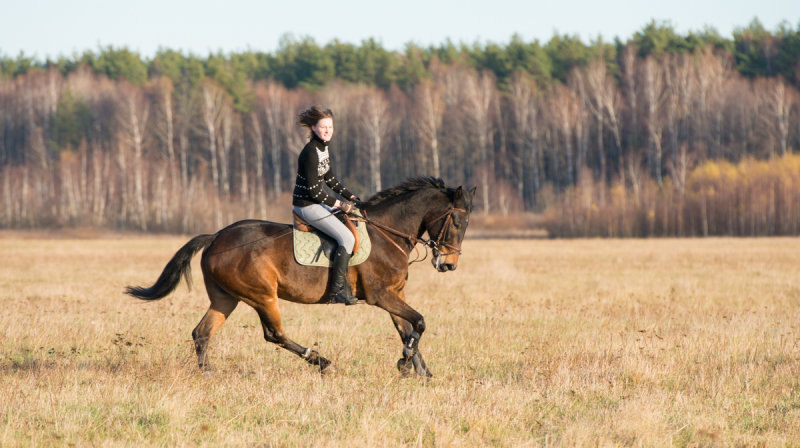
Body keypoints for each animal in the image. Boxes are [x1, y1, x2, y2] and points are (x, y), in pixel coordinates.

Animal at [126, 177, 476, 376]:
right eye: (458, 223)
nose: (449, 265)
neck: (386, 232)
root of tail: (215, 237)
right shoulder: (381, 295)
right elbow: (419, 323)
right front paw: (406, 365)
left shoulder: (395, 294)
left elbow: (407, 331)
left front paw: (420, 371)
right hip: (262, 295)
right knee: (274, 334)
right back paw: (321, 362)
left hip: (226, 298)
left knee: (202, 333)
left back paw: (207, 374)